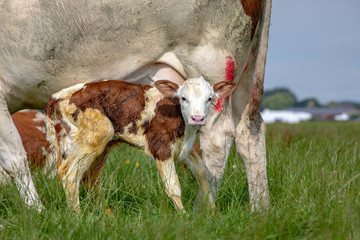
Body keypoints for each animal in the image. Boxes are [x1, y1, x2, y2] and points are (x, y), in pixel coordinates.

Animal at [44, 77, 236, 212]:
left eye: (209, 99)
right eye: (183, 98)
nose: (197, 118)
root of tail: (64, 93)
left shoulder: (186, 149)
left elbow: (203, 175)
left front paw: (212, 212)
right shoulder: (161, 148)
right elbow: (173, 186)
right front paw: (184, 217)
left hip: (101, 144)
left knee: (89, 178)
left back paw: (106, 214)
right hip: (95, 136)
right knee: (69, 173)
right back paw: (77, 215)